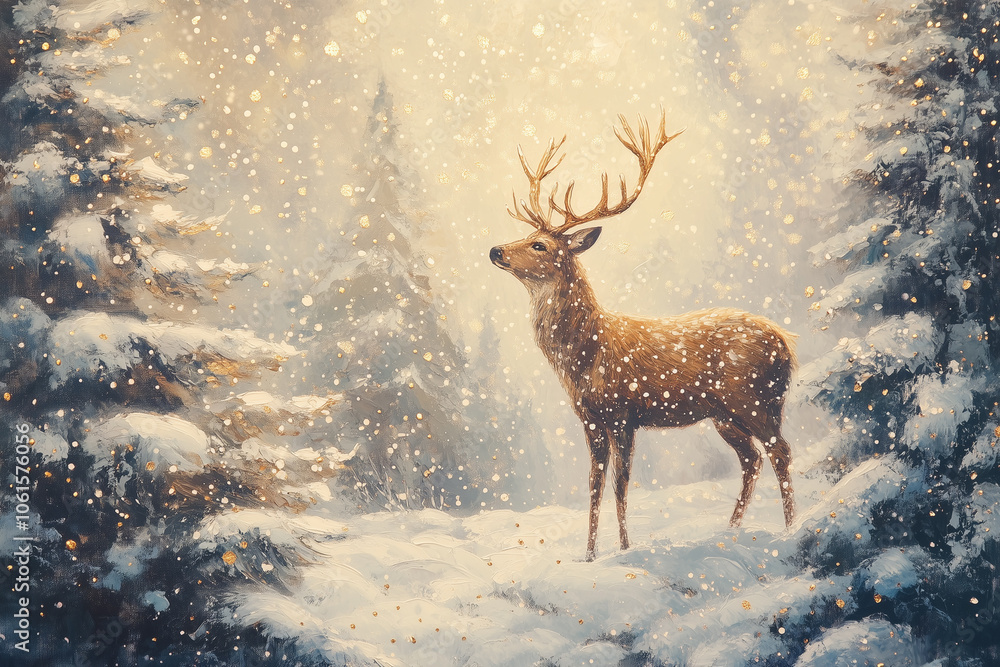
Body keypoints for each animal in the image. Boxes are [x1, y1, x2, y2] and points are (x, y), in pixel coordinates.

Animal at [489, 111, 797, 561]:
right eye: (527, 238)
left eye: (540, 245)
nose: (495, 250)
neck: (584, 357)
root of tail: (787, 344)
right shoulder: (590, 417)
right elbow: (594, 484)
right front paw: (589, 554)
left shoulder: (624, 412)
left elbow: (621, 484)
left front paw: (624, 547)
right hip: (725, 414)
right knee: (751, 459)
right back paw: (732, 530)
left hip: (754, 397)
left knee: (780, 451)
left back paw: (792, 528)